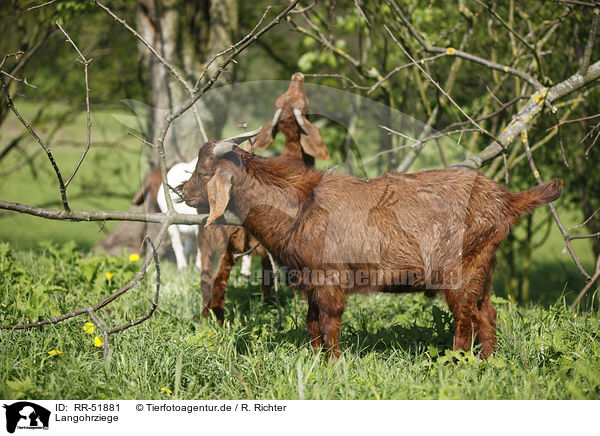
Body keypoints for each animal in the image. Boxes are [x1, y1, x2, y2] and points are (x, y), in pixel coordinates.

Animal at [182, 138, 564, 360]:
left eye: (205, 171)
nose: (181, 192)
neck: (300, 206)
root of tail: (505, 200)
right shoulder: (311, 281)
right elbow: (311, 323)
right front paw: (315, 362)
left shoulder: (331, 279)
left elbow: (329, 322)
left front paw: (334, 365)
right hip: (482, 267)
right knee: (488, 313)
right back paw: (487, 362)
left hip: (460, 269)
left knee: (465, 317)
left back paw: (455, 364)